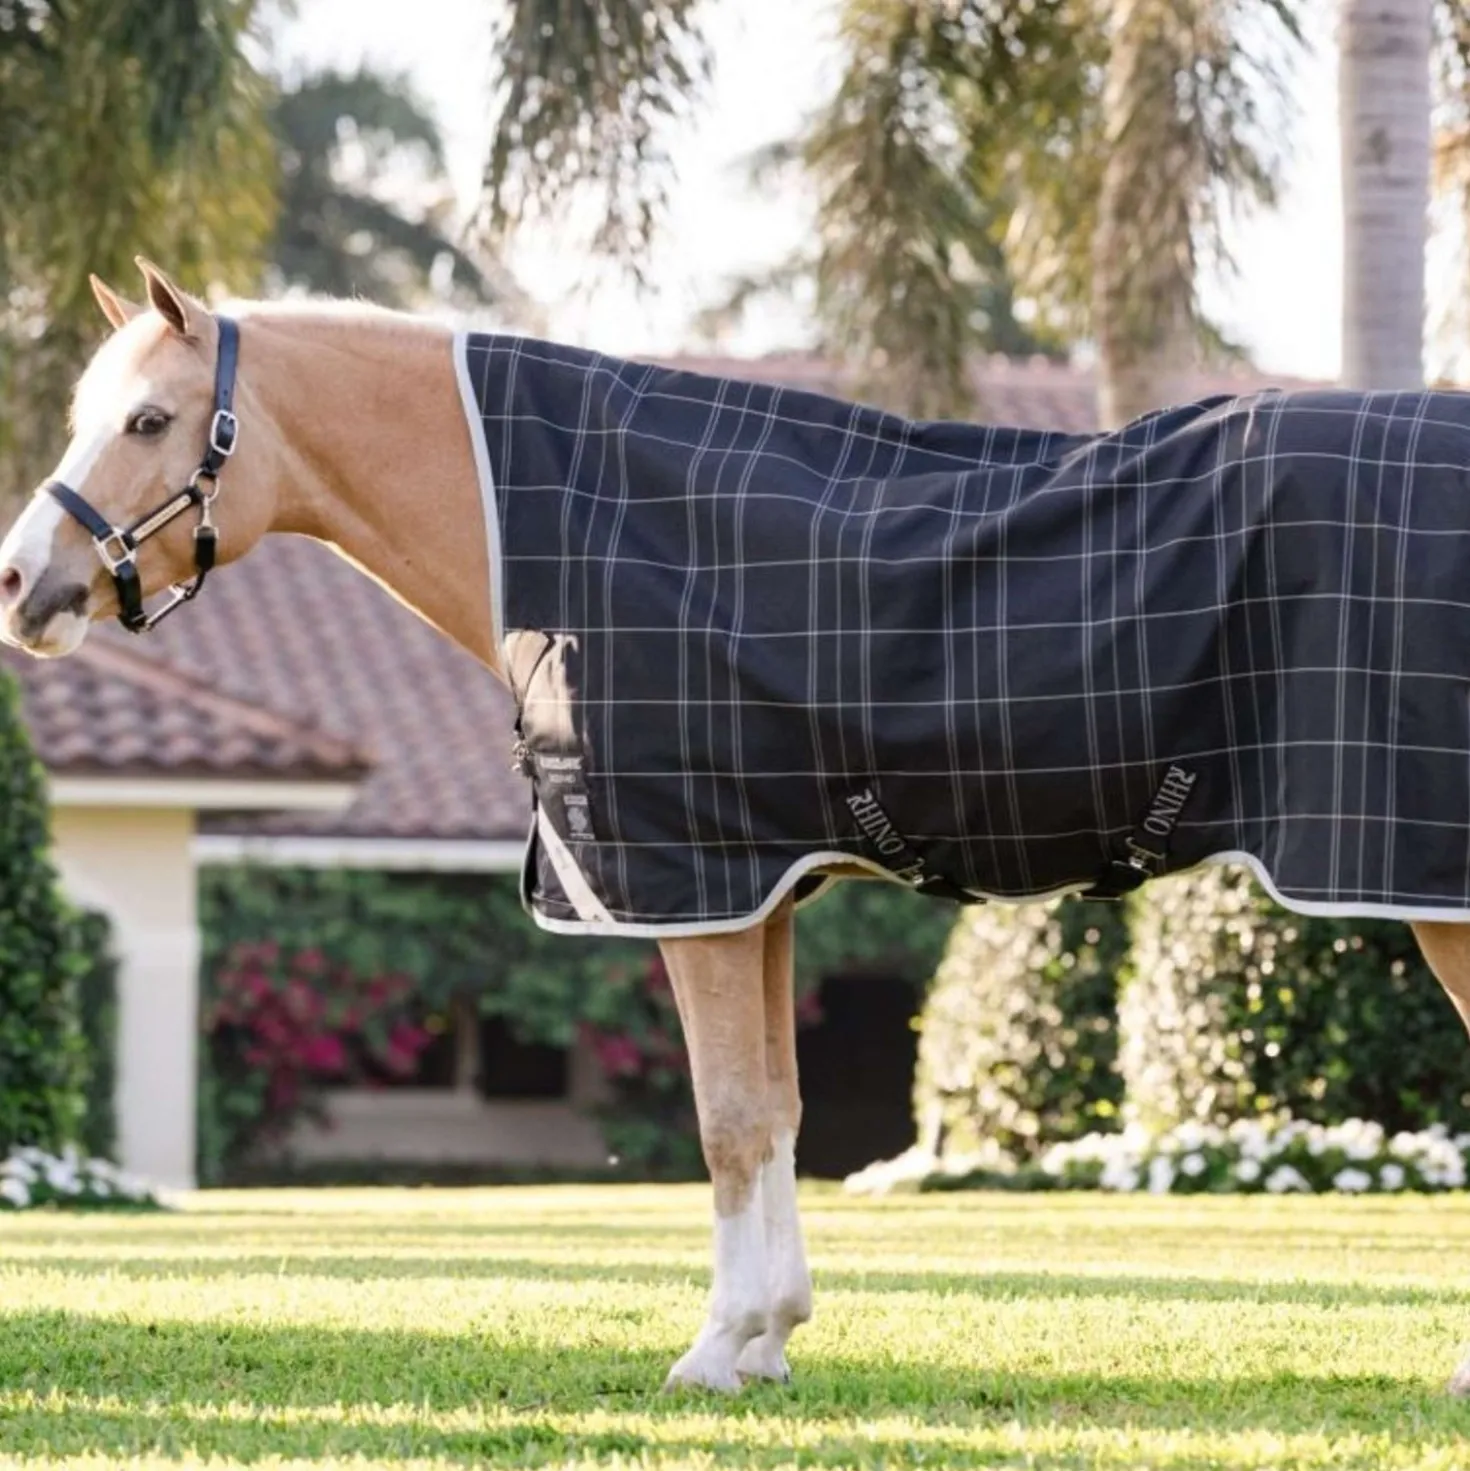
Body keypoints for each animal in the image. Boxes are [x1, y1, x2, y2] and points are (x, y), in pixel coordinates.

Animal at [4, 259, 1470, 1396]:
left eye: (147, 417)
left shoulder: (688, 883)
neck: (570, 521)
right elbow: (775, 1107)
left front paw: (716, 1348)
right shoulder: (758, 889)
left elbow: (725, 1119)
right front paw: (767, 1339)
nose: (25, 581)